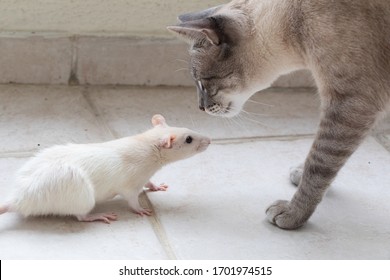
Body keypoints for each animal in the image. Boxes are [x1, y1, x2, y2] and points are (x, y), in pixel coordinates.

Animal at [168, 0, 390, 229]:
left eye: (202, 82)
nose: (200, 107)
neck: (296, 19)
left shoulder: (349, 104)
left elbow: (319, 162)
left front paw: (293, 214)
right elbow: (324, 158)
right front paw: (300, 174)